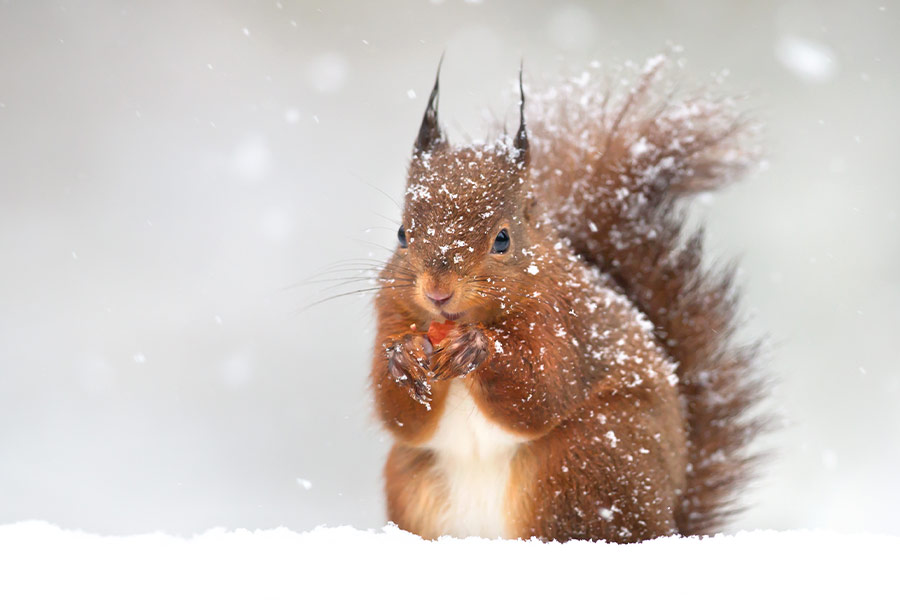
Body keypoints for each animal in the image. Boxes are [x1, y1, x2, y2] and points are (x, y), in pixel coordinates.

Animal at [370, 57, 766, 542]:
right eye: (402, 234)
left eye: (502, 239)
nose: (437, 291)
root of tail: (669, 521)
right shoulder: (390, 312)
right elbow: (400, 416)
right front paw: (404, 357)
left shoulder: (563, 320)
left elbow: (541, 391)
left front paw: (478, 347)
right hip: (414, 483)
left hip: (581, 464)